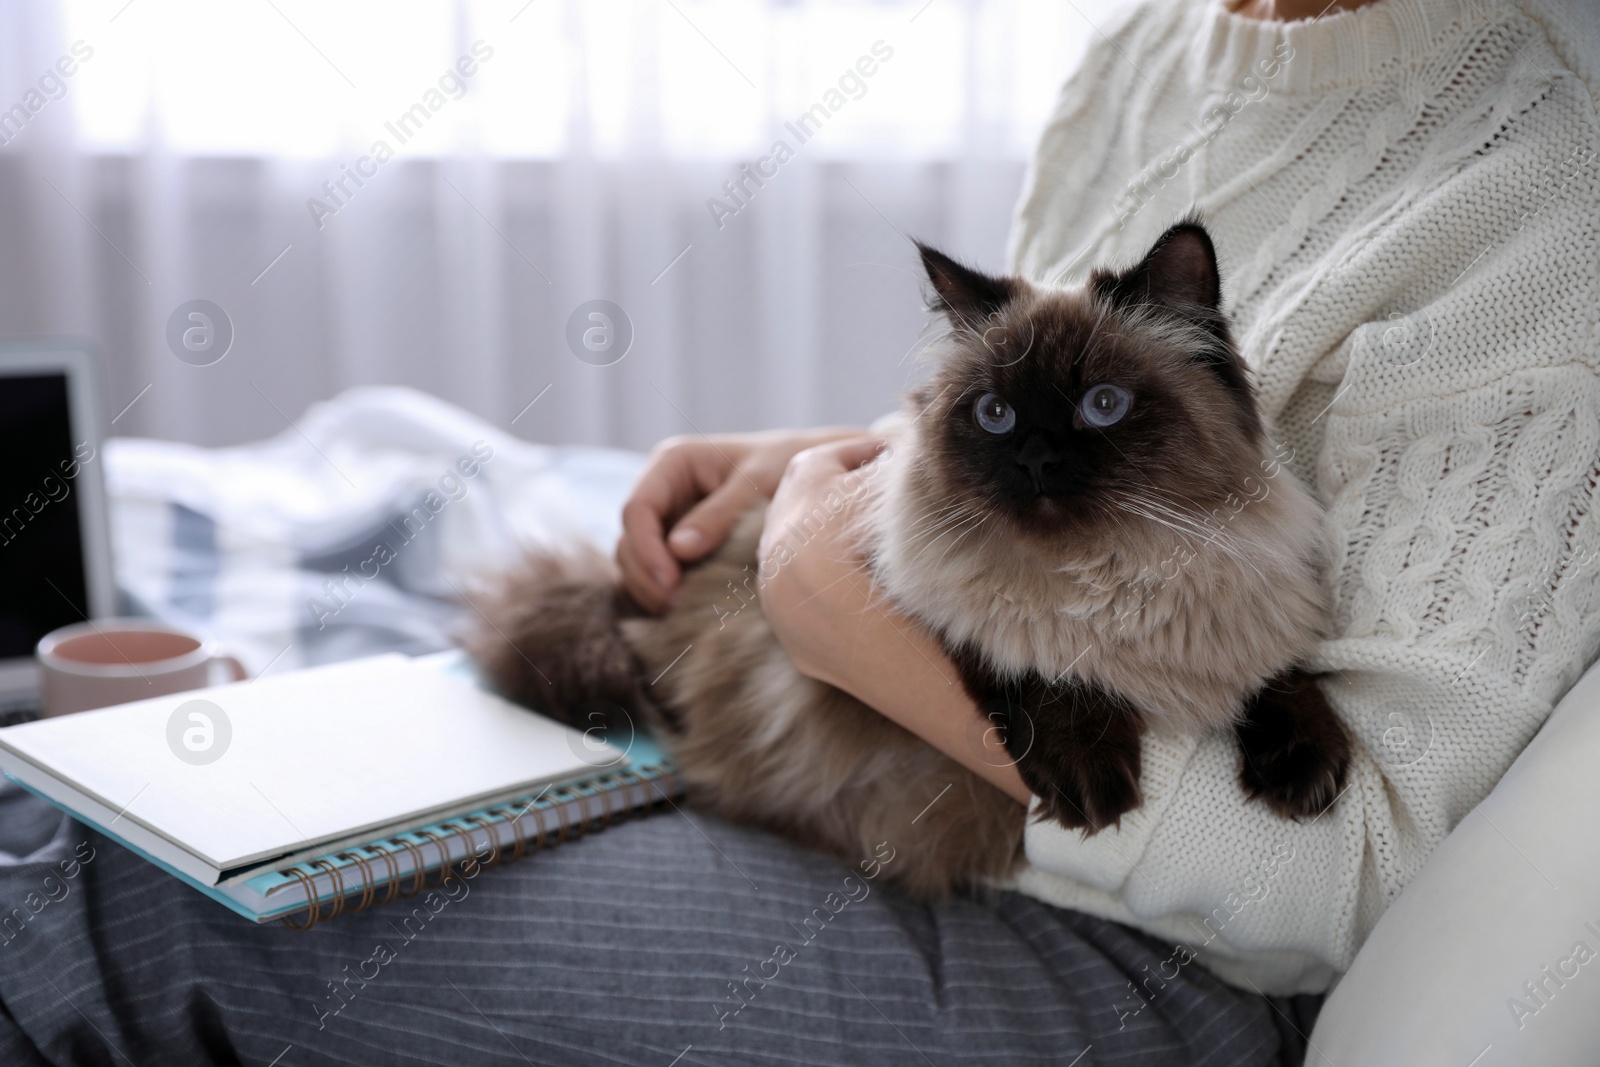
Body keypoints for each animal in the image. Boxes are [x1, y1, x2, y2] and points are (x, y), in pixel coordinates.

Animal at [467, 219, 1350, 902]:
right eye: (995, 415)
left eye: (1104, 405)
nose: (1035, 458)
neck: (1110, 575)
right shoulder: (936, 599)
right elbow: (1036, 667)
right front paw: (1094, 778)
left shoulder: (1247, 610)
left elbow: (1284, 679)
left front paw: (1302, 772)